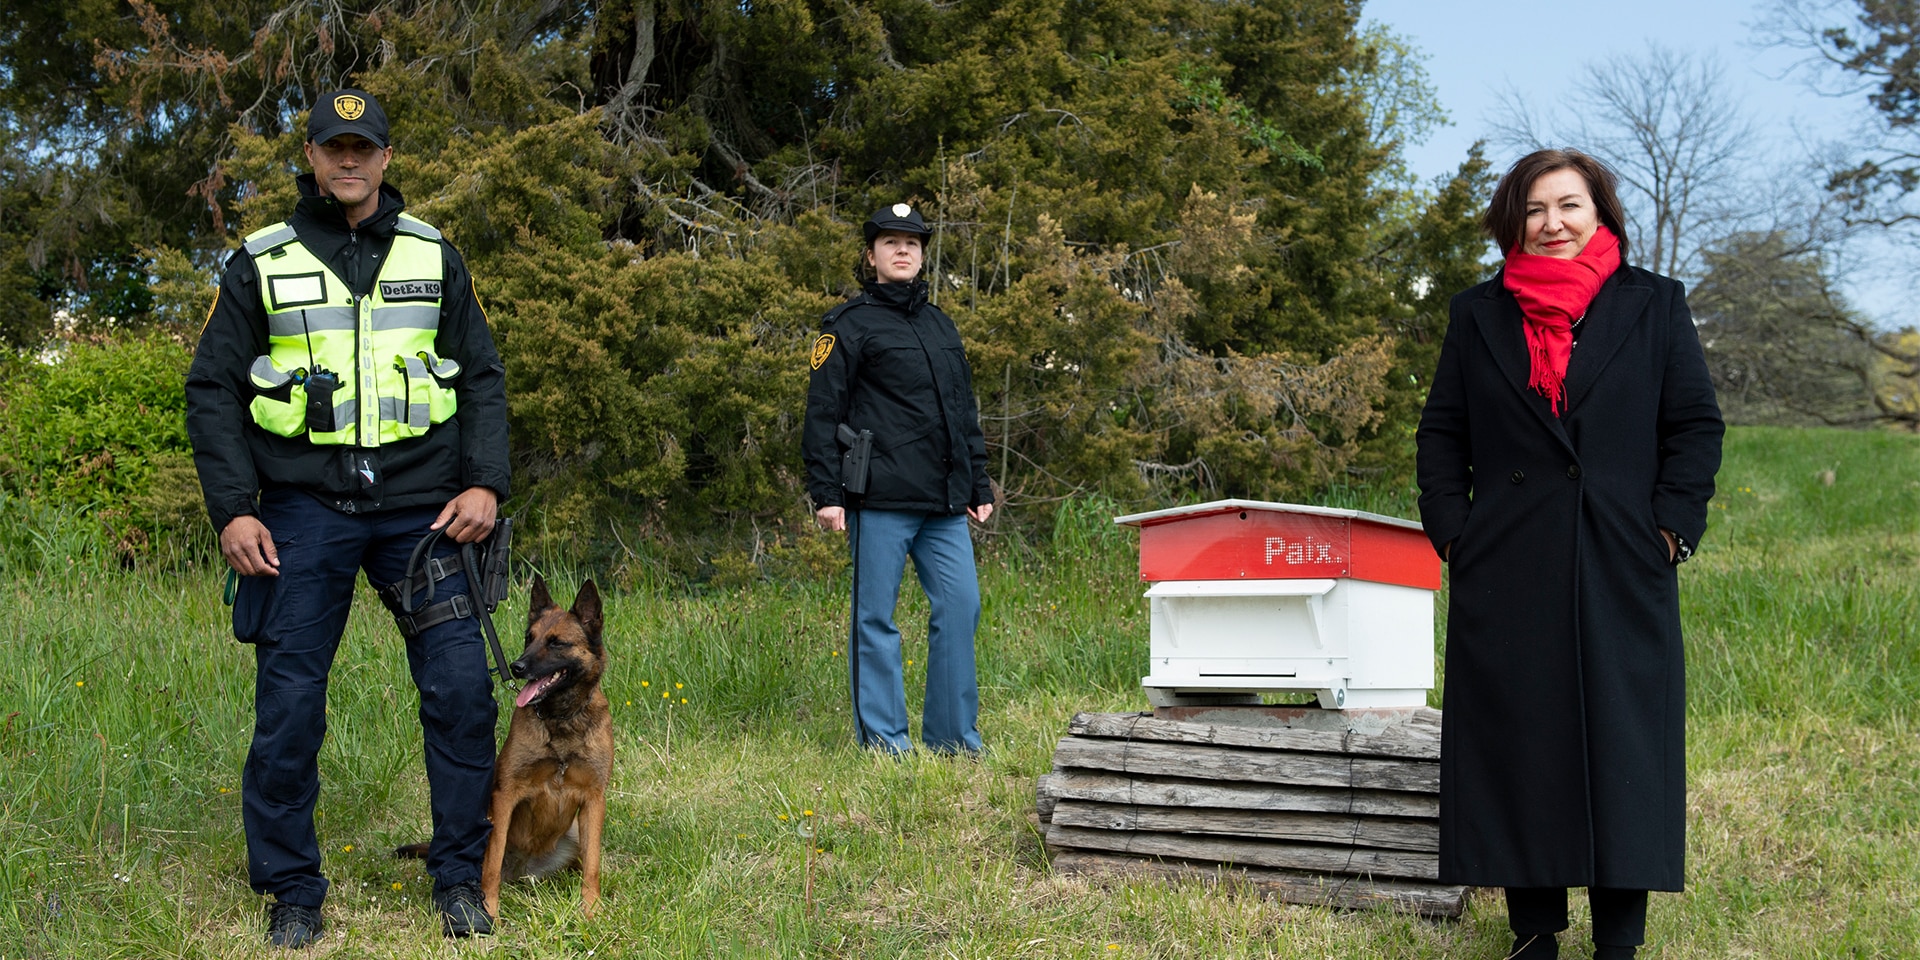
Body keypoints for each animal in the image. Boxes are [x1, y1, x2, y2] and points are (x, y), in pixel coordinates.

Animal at [478, 572, 606, 917]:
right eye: (529, 638)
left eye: (556, 642)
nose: (517, 666)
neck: (560, 720)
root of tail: (525, 870)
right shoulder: (505, 795)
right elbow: (491, 864)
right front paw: (489, 910)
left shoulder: (594, 799)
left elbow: (593, 865)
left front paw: (591, 910)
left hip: (575, 832)